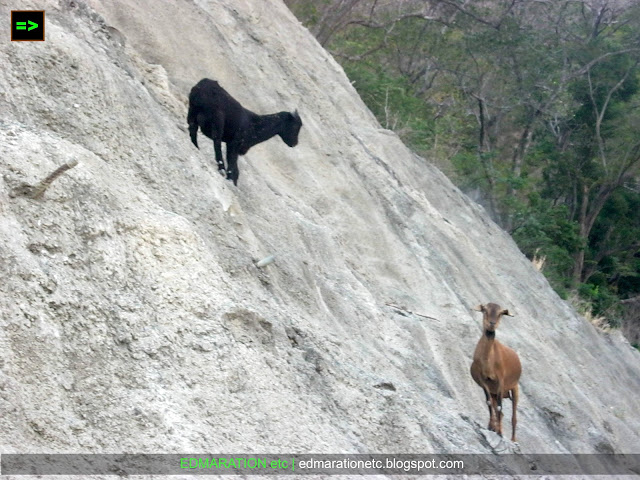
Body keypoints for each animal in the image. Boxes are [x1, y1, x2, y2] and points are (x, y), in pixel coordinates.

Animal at [468, 304, 524, 442]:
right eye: (485, 310)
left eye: (500, 314)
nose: (491, 324)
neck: (489, 364)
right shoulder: (484, 382)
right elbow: (489, 403)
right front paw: (491, 427)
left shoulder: (501, 381)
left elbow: (499, 406)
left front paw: (499, 432)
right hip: (495, 391)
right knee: (499, 410)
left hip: (514, 387)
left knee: (514, 416)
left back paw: (513, 439)